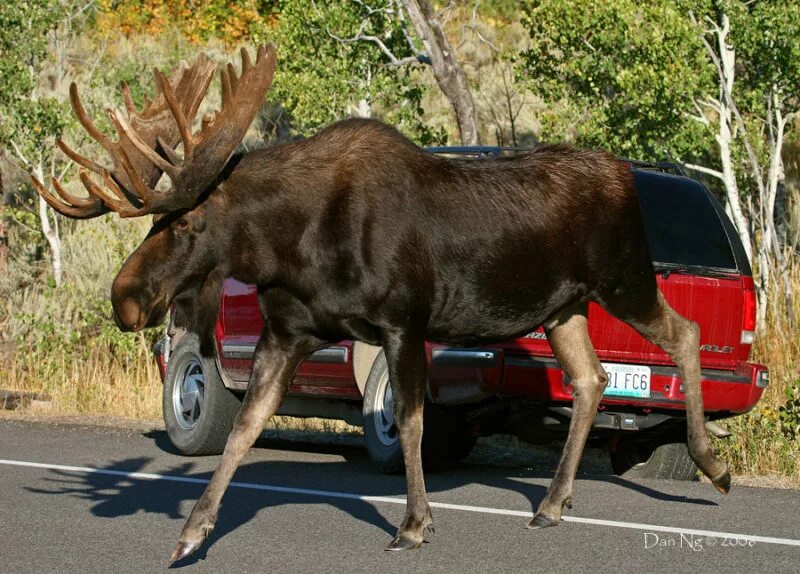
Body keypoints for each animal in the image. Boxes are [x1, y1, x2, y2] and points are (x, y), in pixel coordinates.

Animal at [32, 46, 732, 568]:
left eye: (187, 221)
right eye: (159, 222)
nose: (124, 298)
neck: (290, 248)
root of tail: (624, 175)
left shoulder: (403, 322)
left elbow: (412, 422)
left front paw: (415, 524)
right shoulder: (286, 333)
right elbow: (243, 428)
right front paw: (191, 534)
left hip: (623, 277)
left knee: (687, 333)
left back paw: (712, 465)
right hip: (564, 308)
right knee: (592, 378)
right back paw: (552, 504)